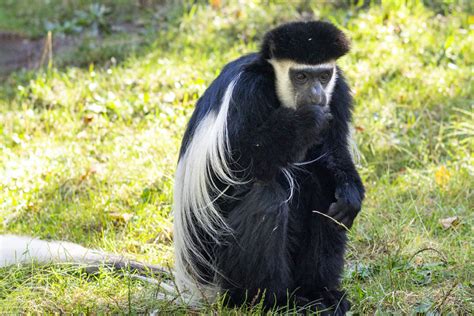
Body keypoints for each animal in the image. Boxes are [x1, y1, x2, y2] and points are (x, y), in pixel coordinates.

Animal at [172, 21, 364, 312]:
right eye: (301, 77)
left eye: (323, 76)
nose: (317, 95)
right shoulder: (246, 92)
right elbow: (238, 161)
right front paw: (306, 120)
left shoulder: (337, 91)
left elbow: (334, 150)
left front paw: (351, 193)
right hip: (221, 265)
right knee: (267, 199)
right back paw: (276, 301)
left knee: (323, 192)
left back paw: (320, 294)